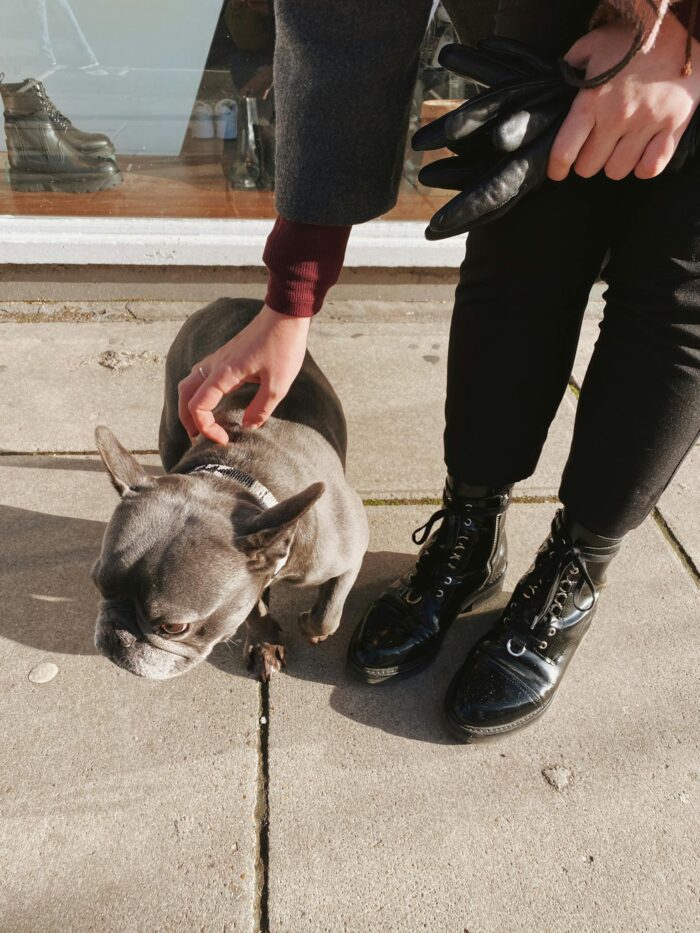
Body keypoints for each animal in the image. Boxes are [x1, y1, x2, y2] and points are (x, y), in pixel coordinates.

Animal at [91, 300, 372, 684]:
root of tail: (225, 299)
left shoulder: (350, 551)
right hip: (174, 424)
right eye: (97, 584)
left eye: (174, 627)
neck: (238, 479)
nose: (116, 637)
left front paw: (311, 626)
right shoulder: (243, 589)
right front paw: (265, 640)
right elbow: (251, 611)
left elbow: (328, 610)